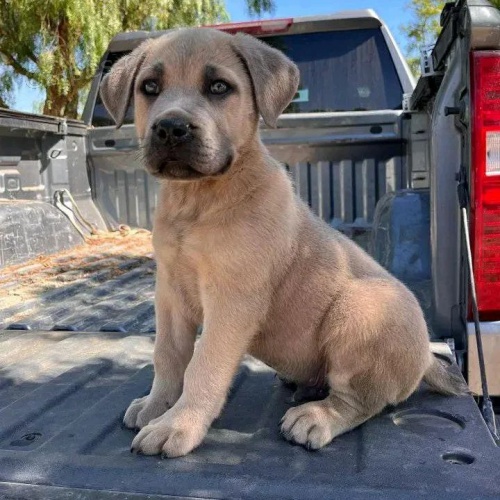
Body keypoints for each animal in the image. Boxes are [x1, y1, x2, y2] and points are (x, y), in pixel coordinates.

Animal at [99, 26, 466, 458]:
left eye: (219, 87)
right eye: (150, 88)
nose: (171, 128)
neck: (200, 199)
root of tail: (426, 356)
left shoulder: (232, 300)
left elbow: (203, 365)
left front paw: (178, 424)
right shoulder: (170, 292)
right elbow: (168, 355)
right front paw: (158, 405)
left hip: (362, 308)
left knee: (362, 400)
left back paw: (317, 417)